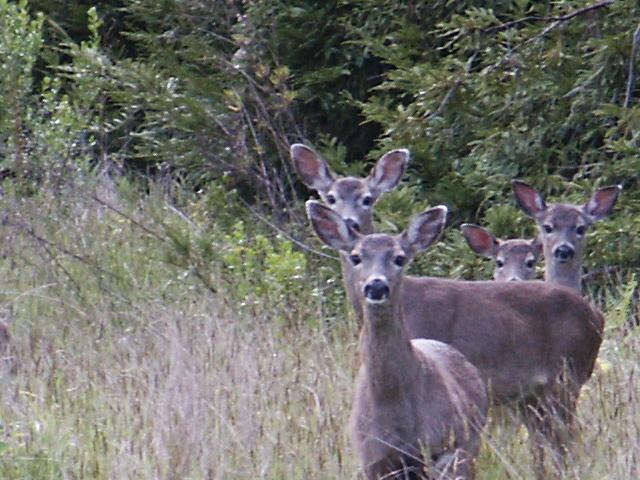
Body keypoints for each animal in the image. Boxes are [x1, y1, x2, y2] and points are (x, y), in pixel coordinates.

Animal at [307, 200, 488, 480]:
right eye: (356, 257)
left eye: (400, 258)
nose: (376, 286)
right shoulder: (372, 460)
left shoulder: (445, 448)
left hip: (470, 445)